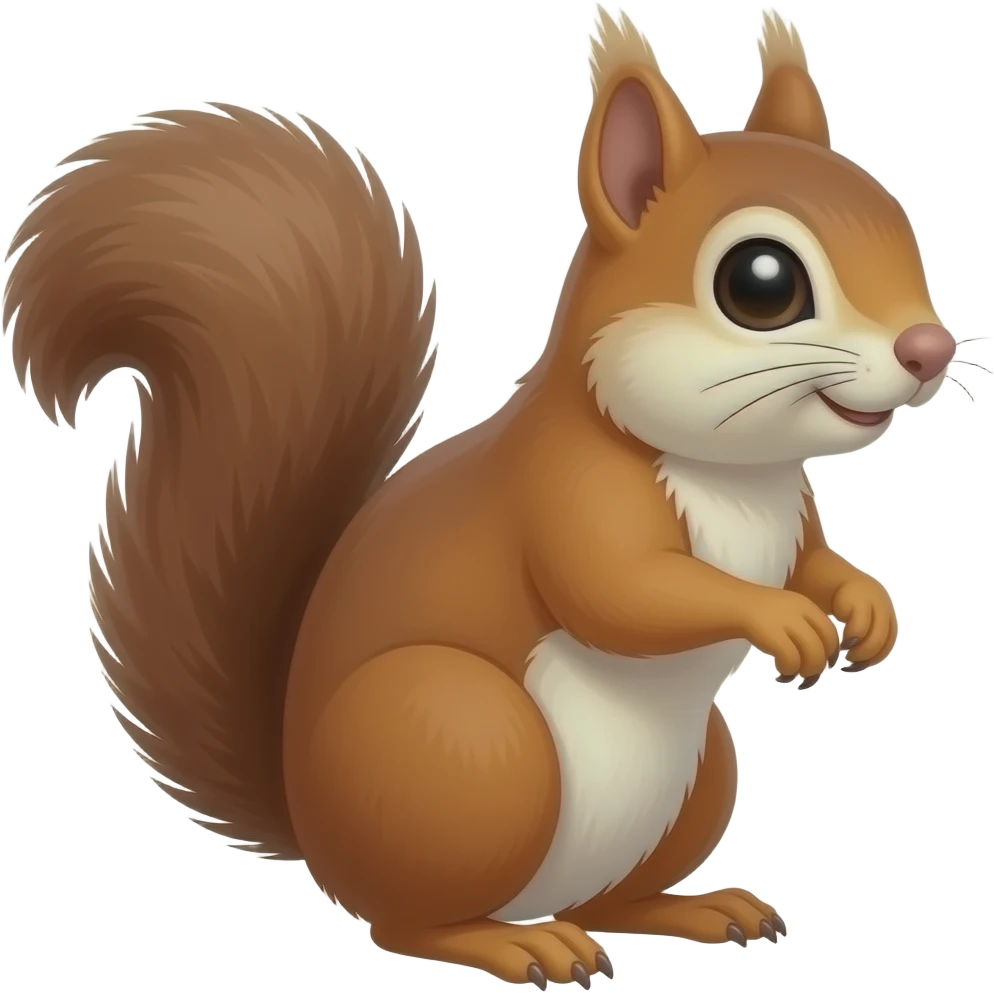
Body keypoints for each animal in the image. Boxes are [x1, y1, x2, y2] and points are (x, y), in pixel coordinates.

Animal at [2, 6, 965, 989]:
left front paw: (865, 605)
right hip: (466, 743)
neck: (732, 475)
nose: (929, 348)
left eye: (900, 221)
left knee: (610, 900)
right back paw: (514, 942)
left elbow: (813, 562)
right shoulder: (570, 493)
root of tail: (312, 829)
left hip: (700, 773)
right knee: (410, 922)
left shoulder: (791, 518)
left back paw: (690, 908)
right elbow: (625, 592)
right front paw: (781, 618)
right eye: (760, 282)